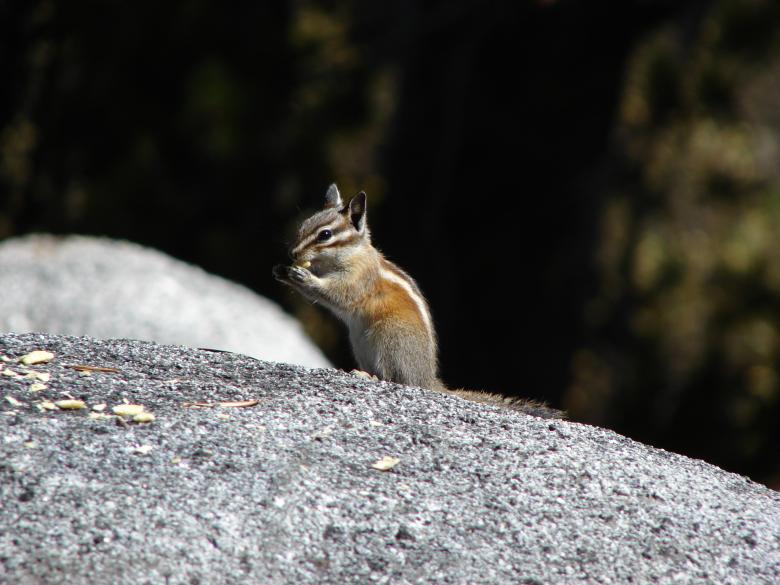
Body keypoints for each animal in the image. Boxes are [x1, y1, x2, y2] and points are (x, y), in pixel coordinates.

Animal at [273, 184, 562, 419]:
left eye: (325, 235)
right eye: (303, 226)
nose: (293, 253)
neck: (348, 255)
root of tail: (427, 378)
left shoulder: (359, 279)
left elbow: (338, 295)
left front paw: (303, 277)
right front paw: (281, 270)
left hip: (388, 337)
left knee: (395, 379)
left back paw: (368, 375)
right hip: (360, 343)